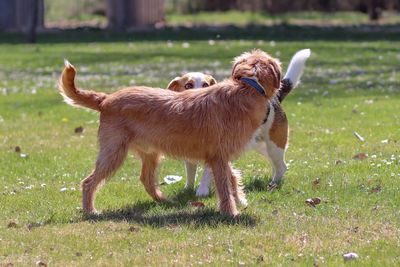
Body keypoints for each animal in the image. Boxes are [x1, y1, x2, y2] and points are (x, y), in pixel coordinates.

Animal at [59, 49, 282, 218]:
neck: (246, 86)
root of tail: (106, 99)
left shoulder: (221, 157)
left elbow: (232, 178)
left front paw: (240, 199)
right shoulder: (218, 157)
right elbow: (224, 187)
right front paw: (231, 213)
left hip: (151, 154)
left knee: (146, 179)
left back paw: (165, 201)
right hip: (113, 153)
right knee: (89, 182)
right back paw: (90, 211)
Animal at [169, 49, 312, 198]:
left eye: (205, 85)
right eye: (188, 85)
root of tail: (275, 98)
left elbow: (206, 173)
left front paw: (202, 191)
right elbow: (190, 173)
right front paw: (188, 189)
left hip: (274, 145)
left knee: (281, 166)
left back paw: (274, 184)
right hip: (261, 146)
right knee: (279, 165)